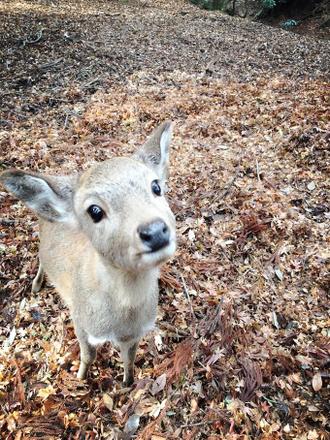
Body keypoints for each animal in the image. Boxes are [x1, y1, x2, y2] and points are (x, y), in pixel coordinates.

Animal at [1, 121, 177, 384]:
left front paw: (128, 383)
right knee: (41, 259)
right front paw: (80, 378)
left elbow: (130, 360)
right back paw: (36, 284)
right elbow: (88, 356)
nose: (154, 231)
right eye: (94, 210)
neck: (122, 322)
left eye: (156, 186)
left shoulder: (136, 334)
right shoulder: (80, 321)